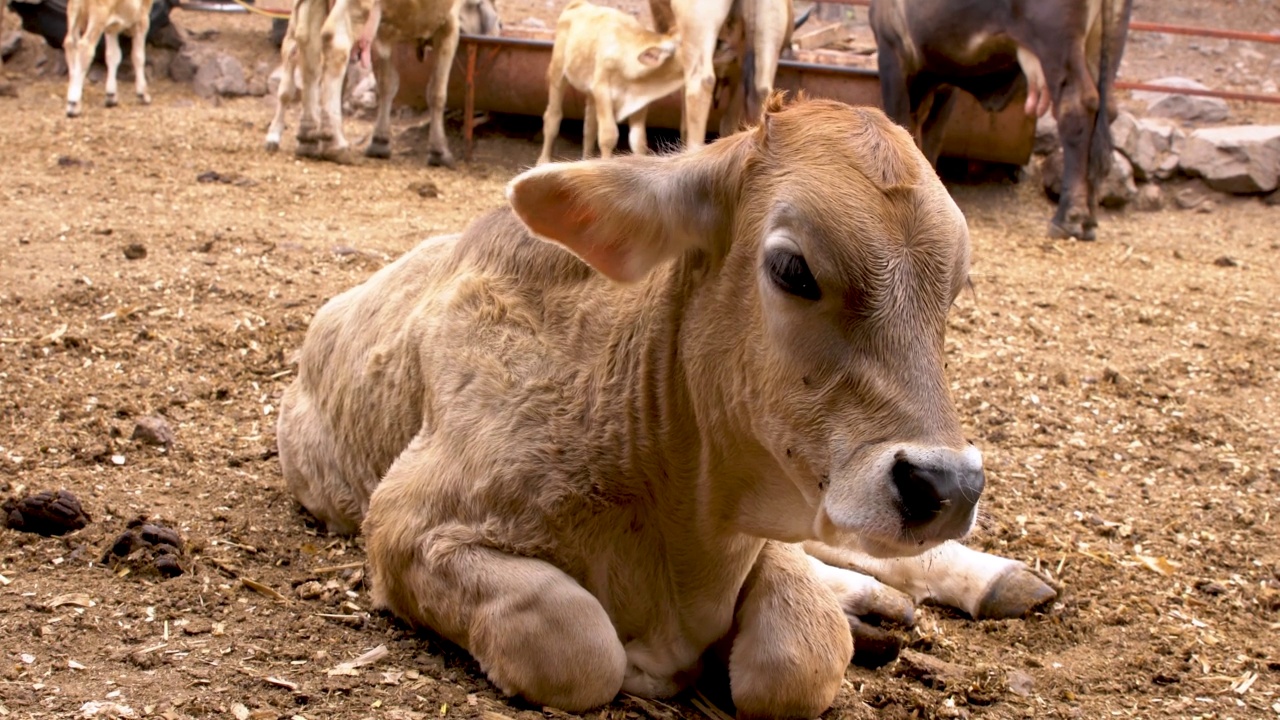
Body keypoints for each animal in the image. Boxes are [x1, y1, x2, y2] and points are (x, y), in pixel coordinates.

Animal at [263, 0, 499, 155]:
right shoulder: (449, 26)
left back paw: (307, 136)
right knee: (331, 43)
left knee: (308, 50)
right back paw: (333, 141)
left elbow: (388, 84)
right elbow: (437, 92)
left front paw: (380, 141)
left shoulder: (384, 31)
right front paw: (439, 150)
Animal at [275, 94, 1054, 712]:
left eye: (955, 287)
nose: (948, 485)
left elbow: (796, 657)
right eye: (792, 268)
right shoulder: (404, 525)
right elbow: (577, 641)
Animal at [535, 0, 686, 163]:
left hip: (590, 91)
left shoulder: (640, 101)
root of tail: (579, 4)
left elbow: (639, 141)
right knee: (553, 117)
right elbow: (608, 136)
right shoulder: (602, 90)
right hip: (558, 72)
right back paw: (543, 161)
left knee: (589, 127)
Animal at [870, 0, 1131, 240]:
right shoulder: (943, 79)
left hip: (1057, 46)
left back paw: (1068, 217)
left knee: (1076, 109)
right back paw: (1090, 218)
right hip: (1103, 47)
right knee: (1105, 114)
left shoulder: (893, 54)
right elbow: (931, 140)